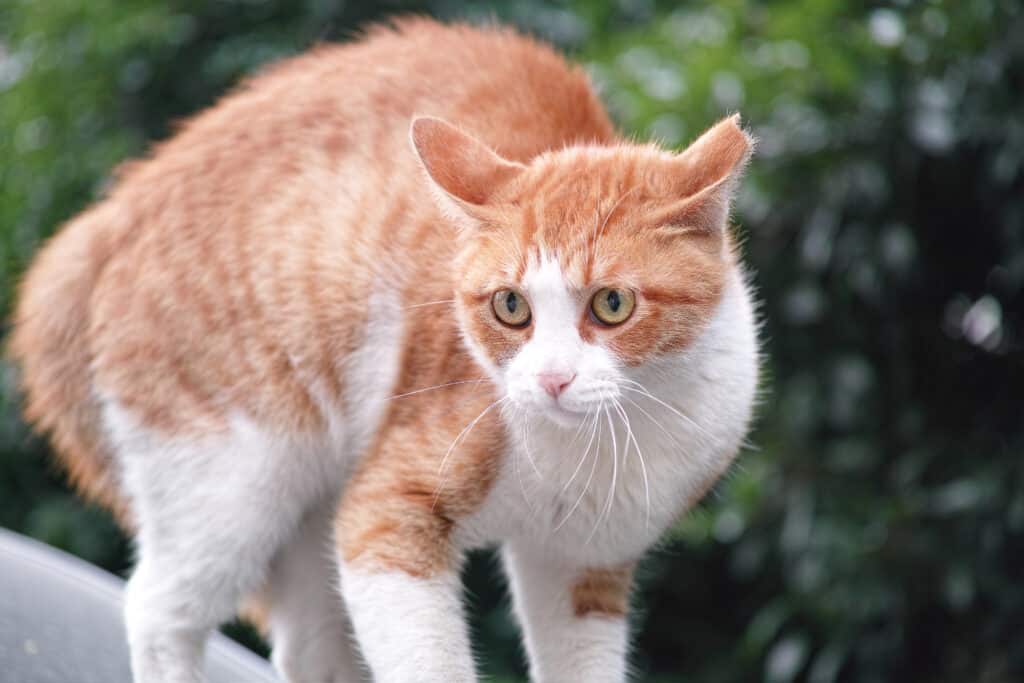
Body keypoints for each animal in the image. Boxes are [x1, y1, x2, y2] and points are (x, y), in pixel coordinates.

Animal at [9, 14, 761, 683]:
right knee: (159, 611)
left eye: (611, 305)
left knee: (308, 647)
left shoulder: (580, 566)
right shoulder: (385, 516)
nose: (551, 379)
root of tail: (109, 216)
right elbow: (427, 659)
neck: (596, 446)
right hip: (233, 478)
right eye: (510, 307)